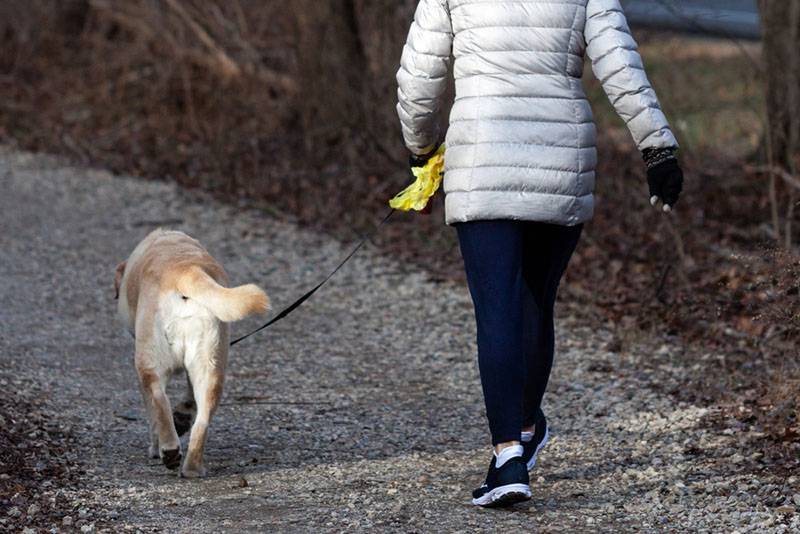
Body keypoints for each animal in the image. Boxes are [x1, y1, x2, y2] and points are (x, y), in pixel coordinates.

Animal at [114, 228, 268, 480]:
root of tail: (186, 270)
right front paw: (184, 413)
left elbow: (152, 412)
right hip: (210, 367)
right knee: (202, 420)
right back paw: (192, 467)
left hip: (149, 363)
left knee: (160, 401)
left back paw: (168, 450)